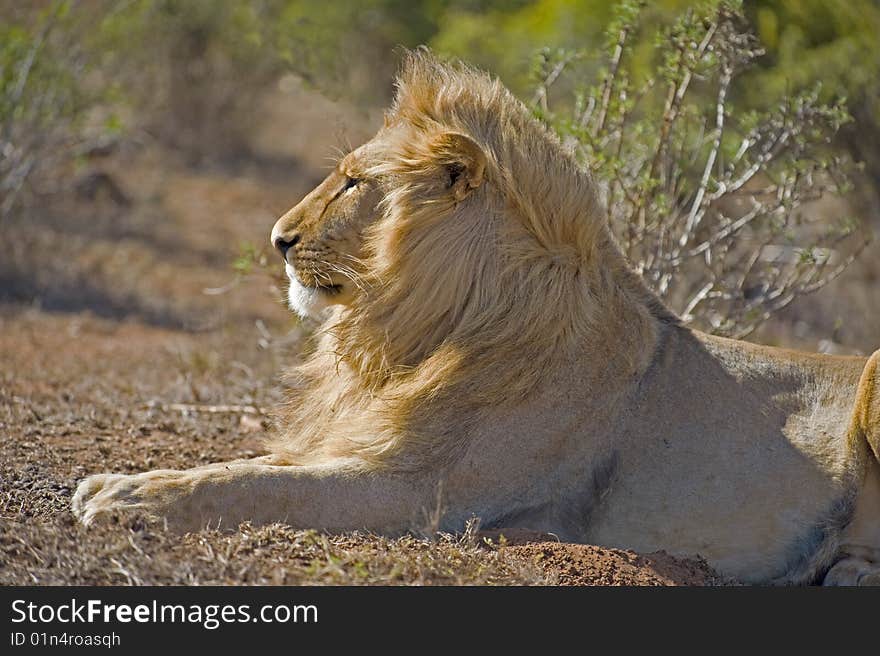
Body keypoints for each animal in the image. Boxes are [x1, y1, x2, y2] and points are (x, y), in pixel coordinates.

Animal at [74, 50, 880, 584]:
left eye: (353, 183)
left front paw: (122, 496)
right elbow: (246, 466)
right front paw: (126, 478)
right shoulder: (356, 441)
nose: (278, 239)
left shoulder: (419, 491)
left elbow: (255, 485)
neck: (423, 330)